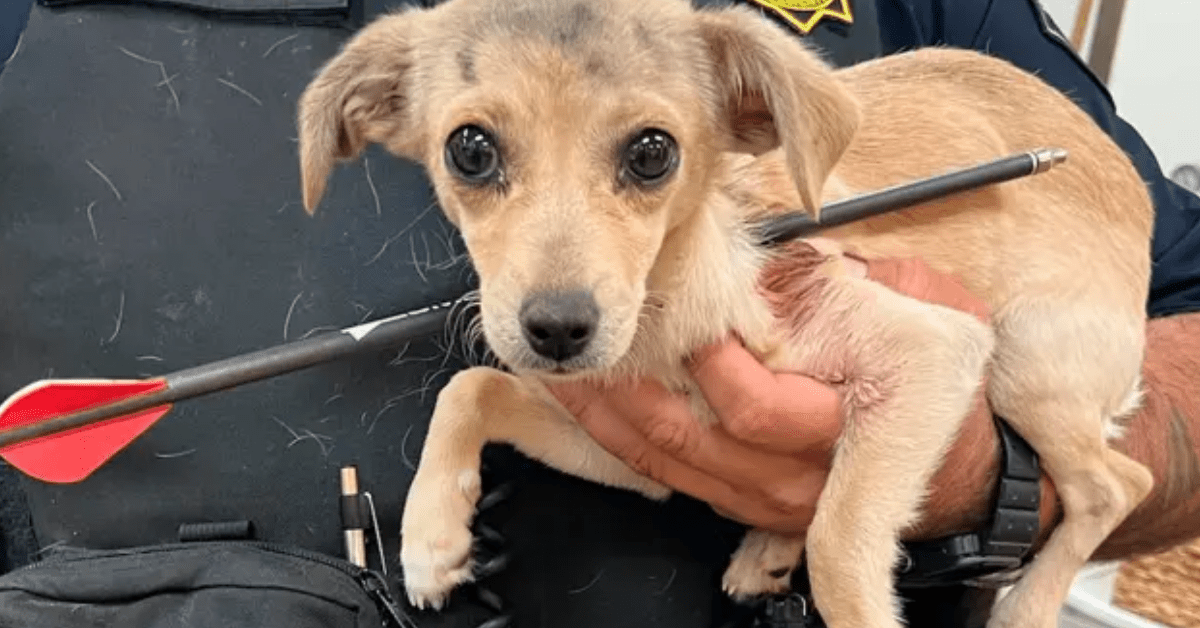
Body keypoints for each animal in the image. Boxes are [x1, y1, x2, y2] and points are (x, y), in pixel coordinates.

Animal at [295, 1, 1156, 628]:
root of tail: (1126, 176)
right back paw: (767, 549)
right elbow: (471, 387)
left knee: (1118, 483)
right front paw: (432, 538)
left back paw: (1027, 606)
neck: (665, 317)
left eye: (653, 154)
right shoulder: (634, 455)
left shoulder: (930, 349)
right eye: (469, 150)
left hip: (1025, 363)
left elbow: (841, 542)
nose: (558, 331)